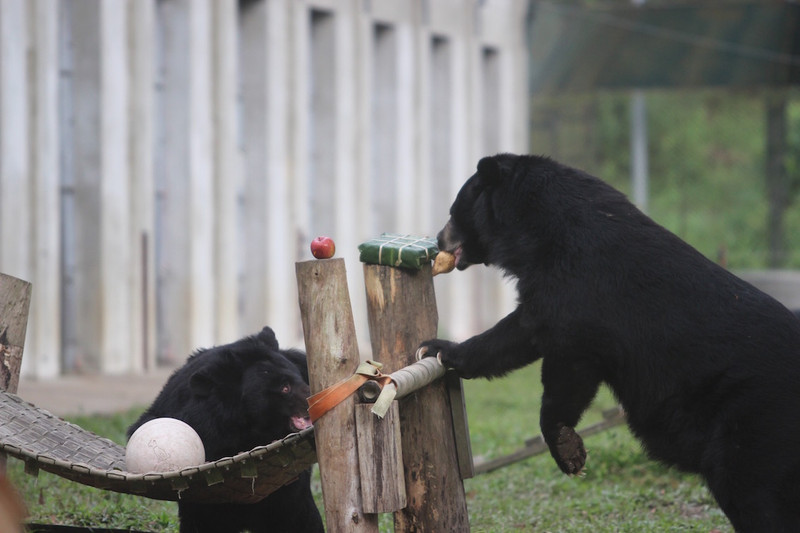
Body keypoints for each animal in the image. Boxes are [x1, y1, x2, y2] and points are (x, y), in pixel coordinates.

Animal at [418, 154, 800, 532]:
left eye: (454, 212)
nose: (437, 241)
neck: (536, 230)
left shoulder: (580, 290)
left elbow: (566, 366)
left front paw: (568, 450)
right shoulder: (548, 290)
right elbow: (517, 334)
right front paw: (437, 349)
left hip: (752, 423)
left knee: (753, 495)